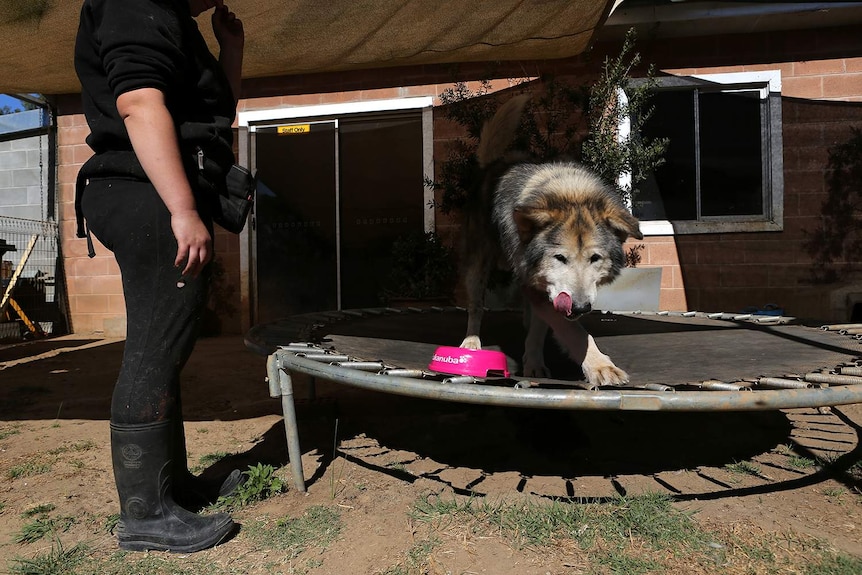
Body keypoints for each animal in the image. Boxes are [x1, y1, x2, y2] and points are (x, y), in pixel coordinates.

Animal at [462, 94, 644, 384]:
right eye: (560, 257)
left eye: (595, 258)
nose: (579, 307)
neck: (570, 194)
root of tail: (494, 164)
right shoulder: (541, 286)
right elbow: (575, 333)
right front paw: (600, 367)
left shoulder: (543, 287)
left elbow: (541, 327)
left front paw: (534, 363)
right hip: (478, 267)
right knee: (476, 306)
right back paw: (470, 343)